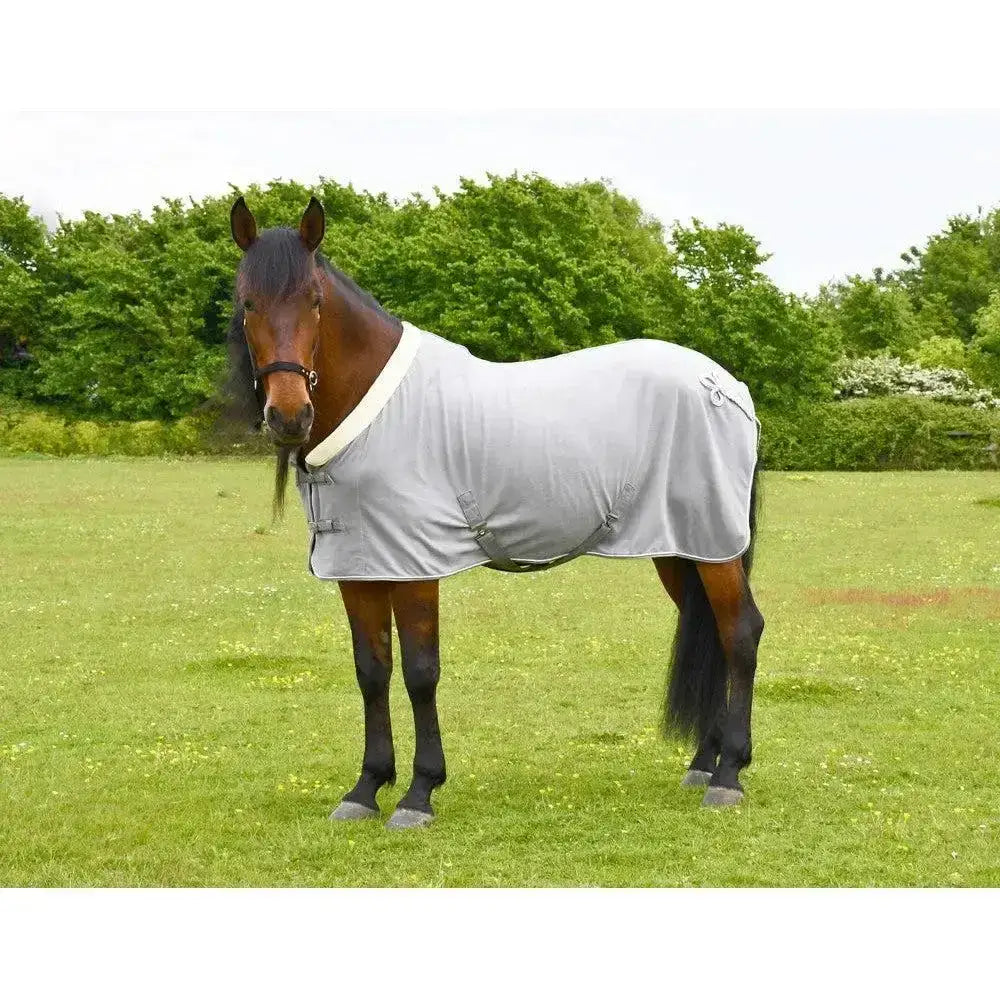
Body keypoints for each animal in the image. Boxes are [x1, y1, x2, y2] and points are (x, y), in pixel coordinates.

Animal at [224, 196, 764, 829]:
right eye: (248, 302)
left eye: (313, 300)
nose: (289, 415)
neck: (374, 410)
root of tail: (725, 385)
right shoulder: (359, 566)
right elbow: (372, 672)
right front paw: (365, 787)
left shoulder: (415, 566)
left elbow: (420, 672)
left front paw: (419, 793)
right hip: (681, 548)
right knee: (710, 630)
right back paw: (704, 763)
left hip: (713, 546)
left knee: (740, 633)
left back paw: (729, 775)